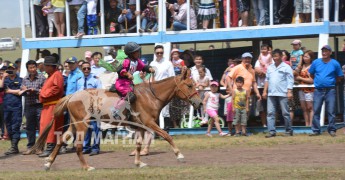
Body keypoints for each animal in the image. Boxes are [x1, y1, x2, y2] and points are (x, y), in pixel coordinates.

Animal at [30, 68, 202, 171]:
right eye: (189, 85)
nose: (199, 103)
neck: (151, 96)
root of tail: (72, 95)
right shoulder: (150, 123)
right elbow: (167, 136)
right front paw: (179, 156)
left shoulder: (141, 126)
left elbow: (138, 145)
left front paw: (139, 162)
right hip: (82, 126)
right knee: (78, 147)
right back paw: (87, 167)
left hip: (74, 125)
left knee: (61, 141)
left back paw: (48, 163)